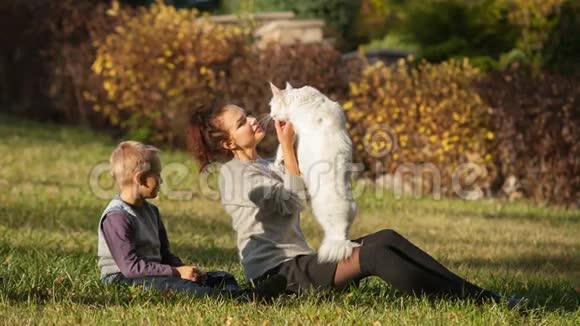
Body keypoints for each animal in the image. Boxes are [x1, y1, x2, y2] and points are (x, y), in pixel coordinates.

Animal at [268, 81, 358, 262]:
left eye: (271, 105)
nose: (271, 115)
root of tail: (340, 237)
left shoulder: (292, 131)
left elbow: (281, 146)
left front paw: (278, 160)